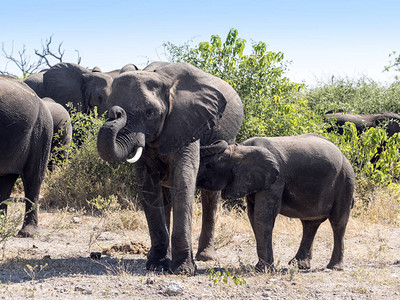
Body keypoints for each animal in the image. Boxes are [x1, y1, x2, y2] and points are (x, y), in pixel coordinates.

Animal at [97, 61, 244, 274]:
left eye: (150, 112)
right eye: (107, 108)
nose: (116, 112)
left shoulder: (187, 122)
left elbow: (183, 180)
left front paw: (183, 270)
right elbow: (148, 186)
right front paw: (157, 265)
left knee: (210, 196)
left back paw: (205, 257)